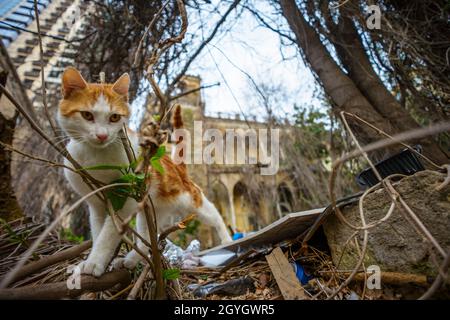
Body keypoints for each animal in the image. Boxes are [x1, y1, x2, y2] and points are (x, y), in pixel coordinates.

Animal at [57, 66, 230, 276]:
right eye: (87, 115)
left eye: (114, 117)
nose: (102, 135)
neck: (97, 157)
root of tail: (176, 166)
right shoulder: (98, 203)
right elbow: (98, 231)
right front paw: (97, 261)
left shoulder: (126, 197)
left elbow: (109, 233)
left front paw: (95, 262)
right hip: (153, 208)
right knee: (149, 236)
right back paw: (131, 260)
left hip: (192, 200)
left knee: (215, 215)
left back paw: (227, 239)